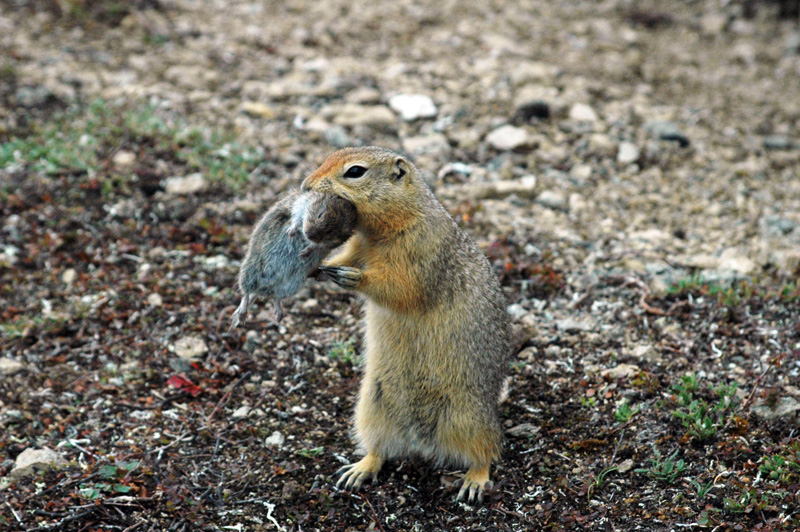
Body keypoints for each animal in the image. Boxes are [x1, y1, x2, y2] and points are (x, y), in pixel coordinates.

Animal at [231, 187, 356, 328]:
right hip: (250, 271)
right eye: (320, 214)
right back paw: (241, 316)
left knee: (275, 298)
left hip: (291, 285)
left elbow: (317, 246)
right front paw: (291, 232)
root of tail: (262, 289)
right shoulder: (300, 203)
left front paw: (304, 253)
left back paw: (278, 316)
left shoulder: (330, 243)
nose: (309, 234)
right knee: (246, 293)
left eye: (331, 231)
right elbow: (296, 218)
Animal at [300, 145, 512, 502]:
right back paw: (358, 470)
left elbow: (400, 287)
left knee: (486, 451)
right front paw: (322, 266)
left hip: (469, 416)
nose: (306, 185)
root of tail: (421, 443)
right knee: (379, 449)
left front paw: (352, 277)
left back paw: (474, 482)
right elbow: (347, 257)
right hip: (371, 407)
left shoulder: (420, 251)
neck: (382, 230)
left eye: (354, 171)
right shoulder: (358, 245)